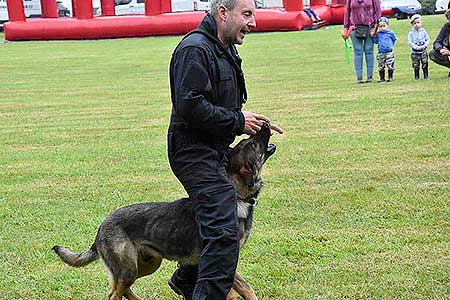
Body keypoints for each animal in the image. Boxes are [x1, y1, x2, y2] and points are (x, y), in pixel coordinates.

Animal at [54, 122, 276, 300]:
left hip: (147, 264)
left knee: (122, 290)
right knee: (114, 294)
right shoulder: (223, 259)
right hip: (129, 269)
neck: (237, 194)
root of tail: (101, 227)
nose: (265, 125)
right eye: (251, 144)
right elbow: (242, 290)